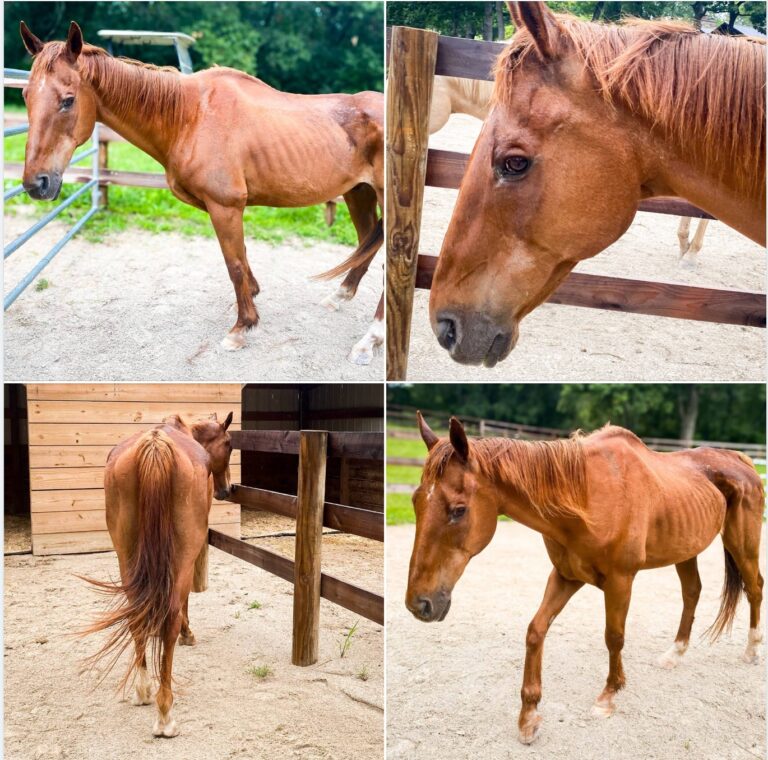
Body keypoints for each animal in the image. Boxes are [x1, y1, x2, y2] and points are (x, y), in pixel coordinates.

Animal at [19, 20, 384, 360]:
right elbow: (242, 259)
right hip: (358, 193)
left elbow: (233, 264)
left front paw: (242, 327)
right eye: (26, 97)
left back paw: (370, 340)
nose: (37, 183)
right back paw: (339, 296)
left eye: (68, 101)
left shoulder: (226, 206)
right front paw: (252, 299)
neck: (190, 116)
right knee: (367, 242)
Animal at [82, 412, 234, 740]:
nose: (227, 489)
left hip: (126, 557)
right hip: (180, 559)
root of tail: (155, 446)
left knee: (135, 616)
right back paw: (165, 713)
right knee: (171, 619)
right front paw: (189, 634)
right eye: (229, 444)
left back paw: (143, 689)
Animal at [408, 412, 760, 744]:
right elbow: (535, 631)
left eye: (459, 510)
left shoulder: (621, 581)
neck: (588, 499)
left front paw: (608, 696)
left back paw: (752, 650)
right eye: (415, 501)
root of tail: (742, 460)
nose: (419, 604)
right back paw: (675, 654)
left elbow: (614, 637)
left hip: (742, 545)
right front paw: (529, 717)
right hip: (686, 550)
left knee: (755, 588)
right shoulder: (565, 576)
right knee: (692, 592)